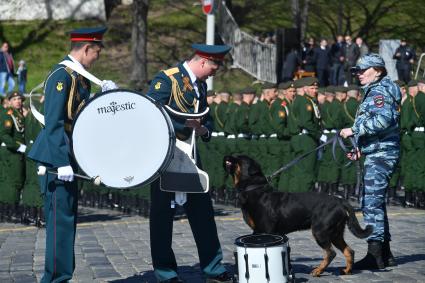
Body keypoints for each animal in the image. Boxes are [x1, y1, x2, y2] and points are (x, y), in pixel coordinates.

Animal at [224, 155, 370, 278]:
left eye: (237, 158)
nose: (227, 156)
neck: (254, 188)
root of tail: (340, 200)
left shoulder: (265, 230)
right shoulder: (256, 231)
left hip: (320, 230)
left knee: (331, 253)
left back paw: (318, 271)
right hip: (336, 232)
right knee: (349, 251)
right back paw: (347, 271)